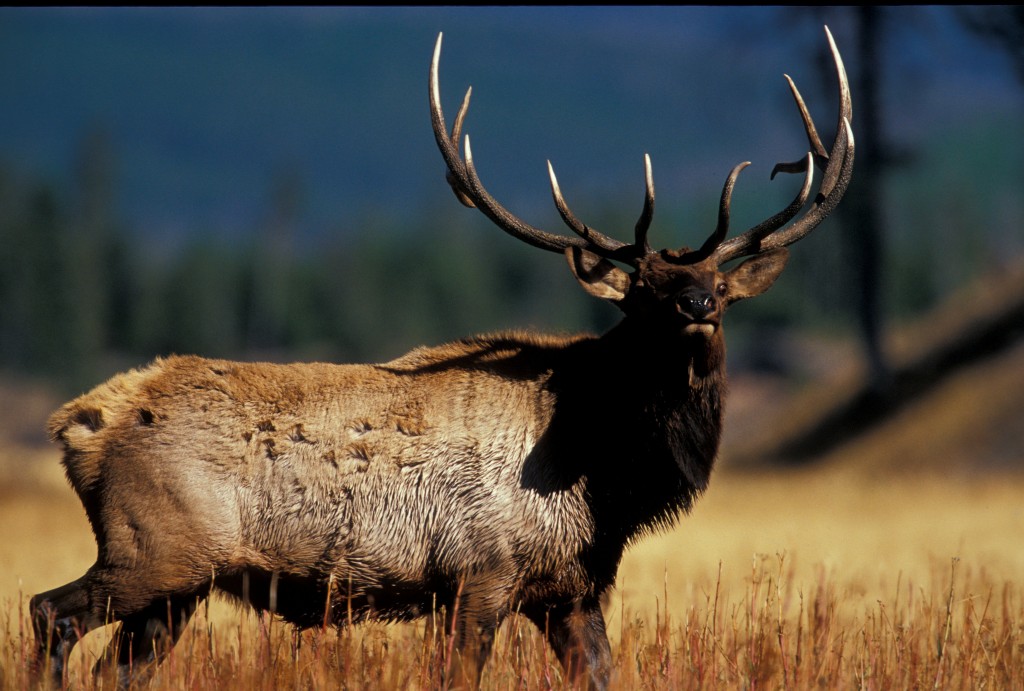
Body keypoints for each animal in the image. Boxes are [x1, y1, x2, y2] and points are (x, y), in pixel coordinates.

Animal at [28, 28, 851, 691]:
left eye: (721, 286)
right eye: (643, 290)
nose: (697, 304)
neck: (604, 478)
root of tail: (79, 425)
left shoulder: (573, 588)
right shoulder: (478, 575)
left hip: (178, 587)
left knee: (114, 664)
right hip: (153, 552)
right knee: (48, 610)